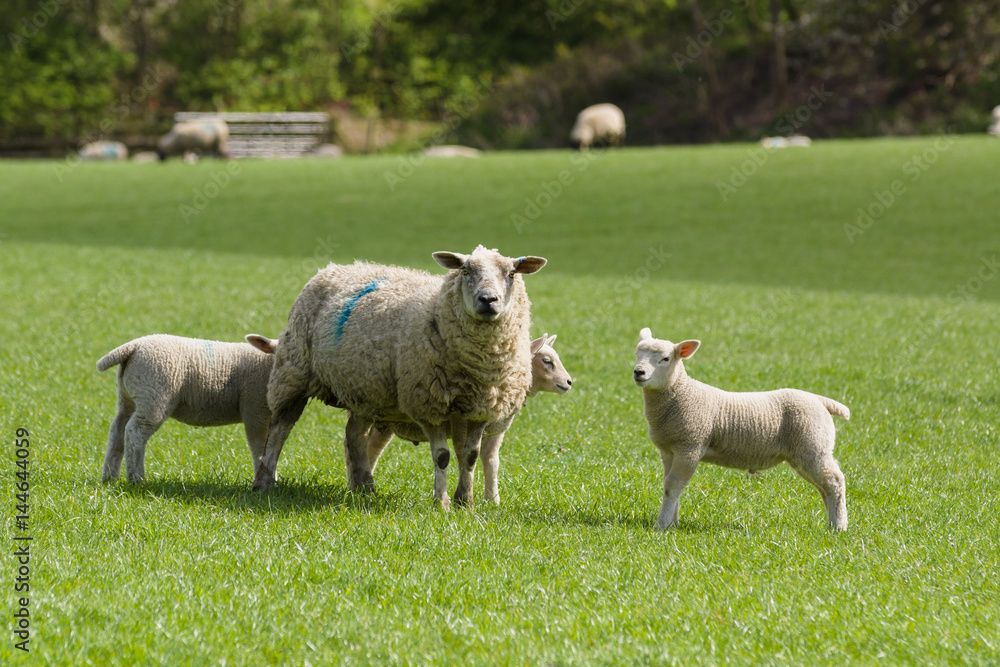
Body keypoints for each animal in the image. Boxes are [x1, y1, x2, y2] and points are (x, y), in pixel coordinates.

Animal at [97, 333, 277, 483]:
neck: (266, 364)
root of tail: (133, 346)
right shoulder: (255, 410)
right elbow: (260, 448)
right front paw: (265, 478)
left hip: (127, 399)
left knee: (117, 431)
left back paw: (109, 478)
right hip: (153, 397)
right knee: (135, 432)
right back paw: (136, 479)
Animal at [255, 246, 547, 510]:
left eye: (511, 273)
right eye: (465, 270)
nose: (488, 299)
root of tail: (334, 268)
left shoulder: (481, 408)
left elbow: (470, 456)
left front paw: (465, 502)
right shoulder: (427, 403)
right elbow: (442, 457)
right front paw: (441, 504)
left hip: (364, 390)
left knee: (354, 435)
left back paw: (365, 488)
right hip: (293, 372)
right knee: (279, 428)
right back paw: (264, 481)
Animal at [365, 333, 573, 504]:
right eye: (547, 361)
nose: (569, 382)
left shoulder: (495, 431)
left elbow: (492, 461)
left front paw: (492, 500)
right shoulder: (460, 424)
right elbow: (462, 456)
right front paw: (461, 496)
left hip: (384, 425)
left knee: (371, 449)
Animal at [632, 328, 850, 531]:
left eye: (665, 359)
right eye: (637, 354)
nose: (638, 372)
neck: (680, 394)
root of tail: (819, 400)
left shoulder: (690, 447)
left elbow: (672, 485)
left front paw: (661, 525)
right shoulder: (669, 450)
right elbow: (670, 486)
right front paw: (672, 523)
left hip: (813, 445)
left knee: (834, 481)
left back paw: (839, 526)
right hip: (804, 452)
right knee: (823, 487)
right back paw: (831, 523)